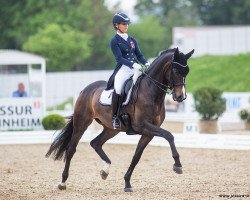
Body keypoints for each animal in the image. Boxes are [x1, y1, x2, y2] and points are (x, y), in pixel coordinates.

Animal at [47, 47, 195, 192]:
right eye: (176, 70)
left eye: (187, 71)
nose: (181, 97)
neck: (151, 91)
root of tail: (86, 89)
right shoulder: (143, 126)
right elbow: (169, 135)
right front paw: (177, 165)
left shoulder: (148, 132)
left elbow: (136, 156)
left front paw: (127, 183)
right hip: (82, 122)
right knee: (71, 149)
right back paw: (62, 182)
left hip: (111, 129)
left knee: (96, 143)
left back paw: (105, 170)